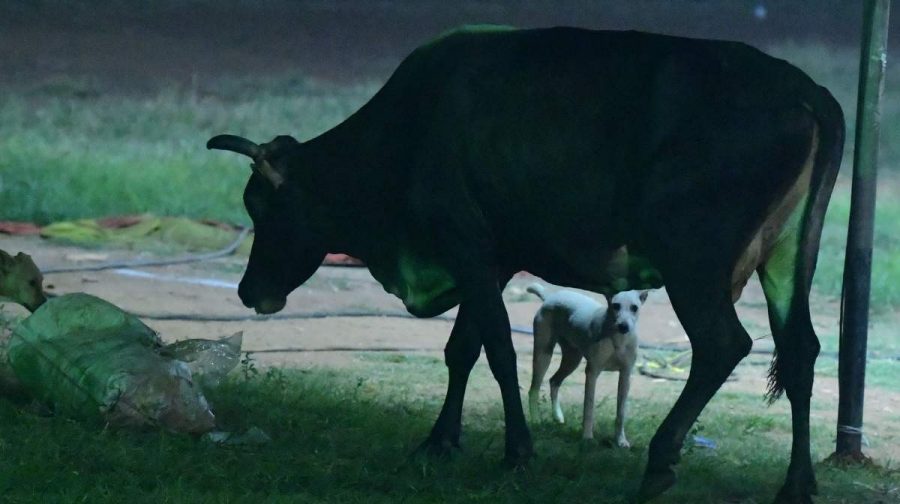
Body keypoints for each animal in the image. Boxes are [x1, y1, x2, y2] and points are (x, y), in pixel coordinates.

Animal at [208, 26, 844, 503]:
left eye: (261, 207)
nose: (247, 290)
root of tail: (806, 88)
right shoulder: (490, 257)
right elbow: (461, 348)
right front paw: (440, 442)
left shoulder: (466, 243)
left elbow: (497, 348)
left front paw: (517, 451)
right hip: (790, 255)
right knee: (801, 351)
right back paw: (796, 484)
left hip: (693, 258)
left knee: (723, 345)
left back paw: (660, 462)